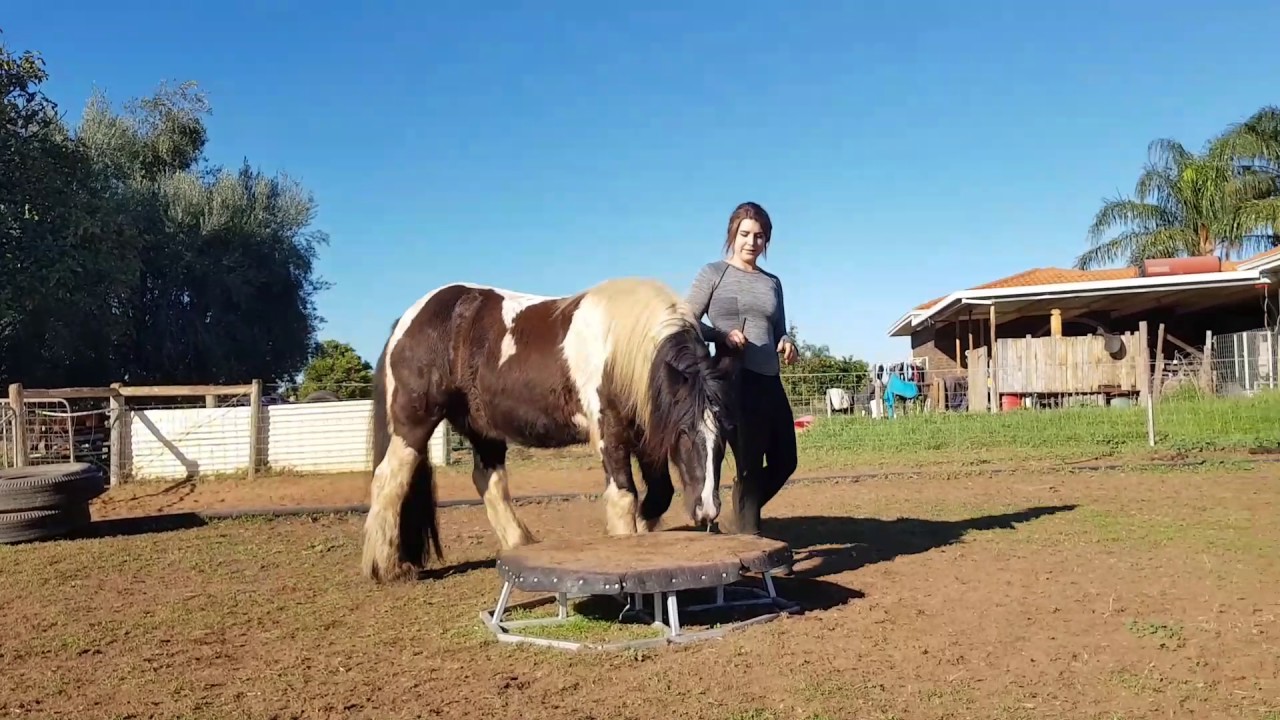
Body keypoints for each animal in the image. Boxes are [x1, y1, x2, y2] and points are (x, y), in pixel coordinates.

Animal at [361, 276, 741, 583]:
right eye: (684, 434)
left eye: (724, 437)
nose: (707, 510)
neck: (623, 347)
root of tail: (409, 319)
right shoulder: (612, 433)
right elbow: (624, 498)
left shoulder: (647, 435)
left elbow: (659, 495)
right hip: (413, 423)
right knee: (389, 480)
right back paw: (387, 568)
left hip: (483, 428)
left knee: (488, 481)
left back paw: (520, 544)